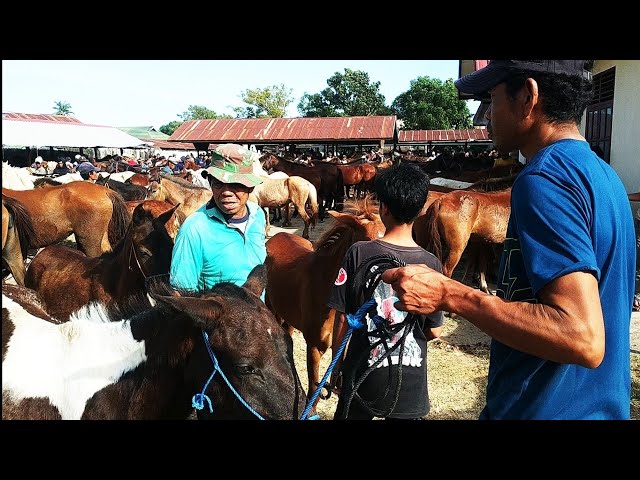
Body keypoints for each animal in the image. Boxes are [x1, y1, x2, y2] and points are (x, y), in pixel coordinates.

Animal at [264, 197, 384, 414]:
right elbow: (314, 389)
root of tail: (276, 237)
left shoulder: (341, 346)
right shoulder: (314, 346)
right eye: (367, 243)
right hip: (274, 309)